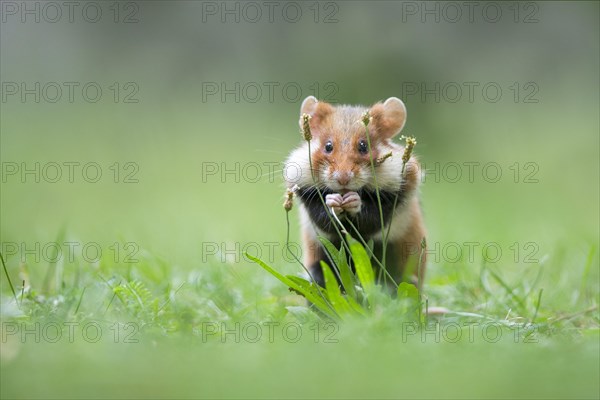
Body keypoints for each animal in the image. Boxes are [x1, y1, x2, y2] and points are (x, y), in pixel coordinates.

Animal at [286, 97, 426, 290]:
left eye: (363, 146)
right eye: (328, 146)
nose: (343, 180)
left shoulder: (394, 198)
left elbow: (372, 217)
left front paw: (353, 200)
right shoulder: (308, 196)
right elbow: (322, 217)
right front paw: (333, 200)